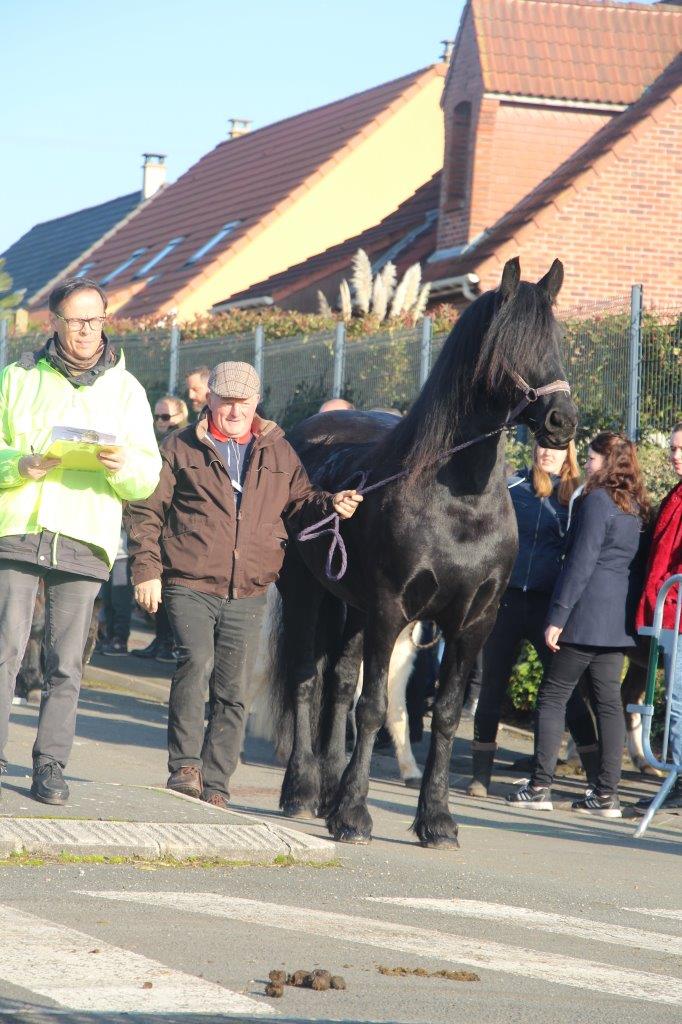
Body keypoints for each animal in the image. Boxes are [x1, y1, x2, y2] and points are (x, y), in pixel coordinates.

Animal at [268, 258, 577, 847]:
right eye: (508, 345)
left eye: (557, 340)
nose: (561, 421)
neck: (460, 503)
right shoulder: (392, 610)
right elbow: (373, 708)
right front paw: (354, 816)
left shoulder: (473, 624)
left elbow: (448, 716)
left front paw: (436, 819)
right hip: (308, 595)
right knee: (306, 680)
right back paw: (302, 791)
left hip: (354, 609)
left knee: (339, 684)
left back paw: (327, 791)